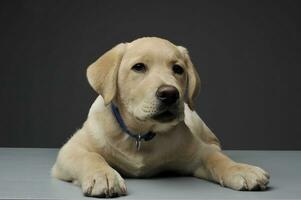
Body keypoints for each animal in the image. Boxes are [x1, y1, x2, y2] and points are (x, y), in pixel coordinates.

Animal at [51, 37, 270, 197]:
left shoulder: (197, 153)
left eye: (178, 69)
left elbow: (216, 158)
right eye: (139, 67)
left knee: (214, 145)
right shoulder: (70, 150)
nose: (170, 94)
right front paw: (103, 176)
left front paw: (240, 169)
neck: (140, 134)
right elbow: (90, 156)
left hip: (198, 123)